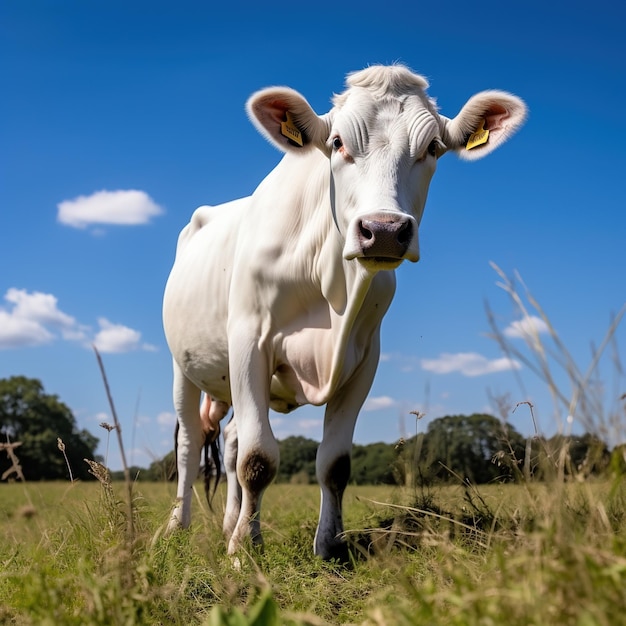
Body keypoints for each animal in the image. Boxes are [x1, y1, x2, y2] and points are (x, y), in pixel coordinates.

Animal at [163, 63, 524, 560]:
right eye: (336, 143)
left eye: (433, 148)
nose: (384, 230)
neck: (331, 284)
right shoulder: (249, 340)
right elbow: (259, 458)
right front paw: (245, 551)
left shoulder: (364, 359)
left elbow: (333, 463)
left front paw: (329, 545)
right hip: (183, 365)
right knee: (189, 442)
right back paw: (178, 528)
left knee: (232, 442)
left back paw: (229, 523)